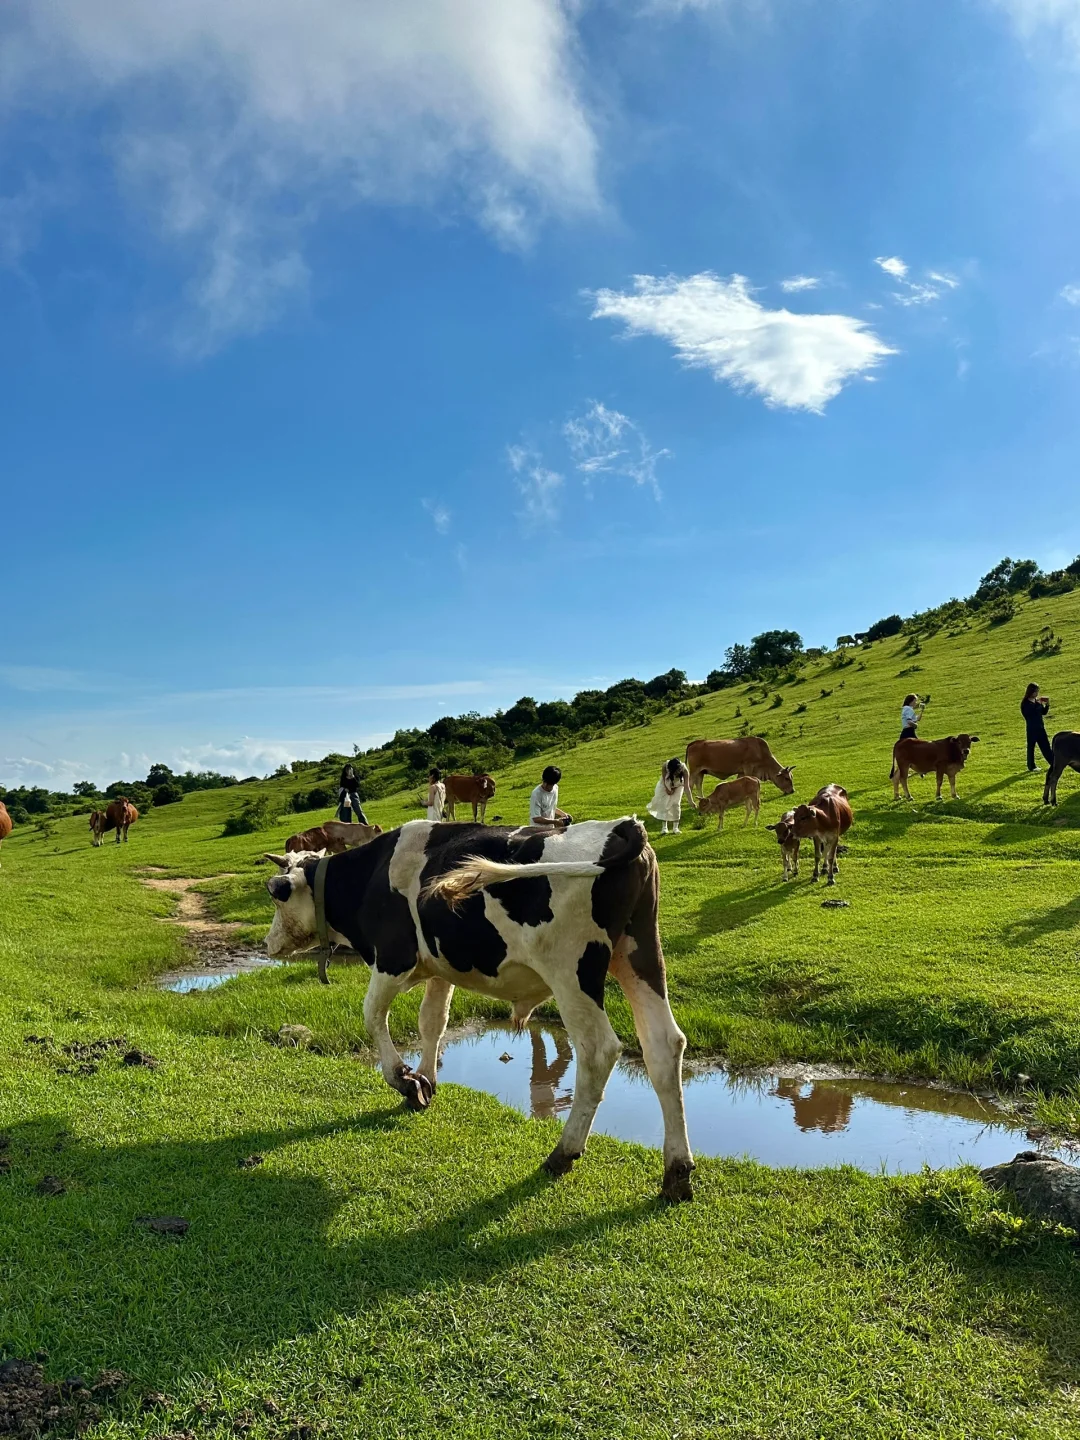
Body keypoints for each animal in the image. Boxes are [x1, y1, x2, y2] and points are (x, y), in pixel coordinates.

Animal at [266, 817, 696, 1198]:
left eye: (275, 892)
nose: (269, 944)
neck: (369, 876)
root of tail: (621, 826)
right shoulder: (440, 968)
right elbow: (432, 1022)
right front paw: (425, 1082)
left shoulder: (392, 959)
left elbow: (372, 1015)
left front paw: (405, 1080)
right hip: (640, 954)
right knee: (664, 1045)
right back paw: (677, 1172)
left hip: (571, 970)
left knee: (598, 1051)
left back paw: (562, 1153)